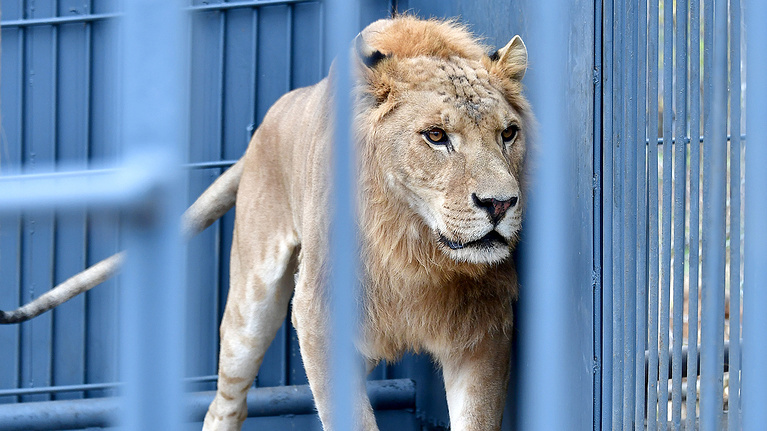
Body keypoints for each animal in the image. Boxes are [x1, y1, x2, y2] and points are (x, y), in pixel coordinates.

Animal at [0, 15, 532, 430]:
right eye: (436, 136)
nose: (500, 204)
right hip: (250, 304)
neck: (416, 249)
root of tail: (272, 117)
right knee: (225, 404)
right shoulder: (318, 319)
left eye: (508, 134)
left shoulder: (482, 332)